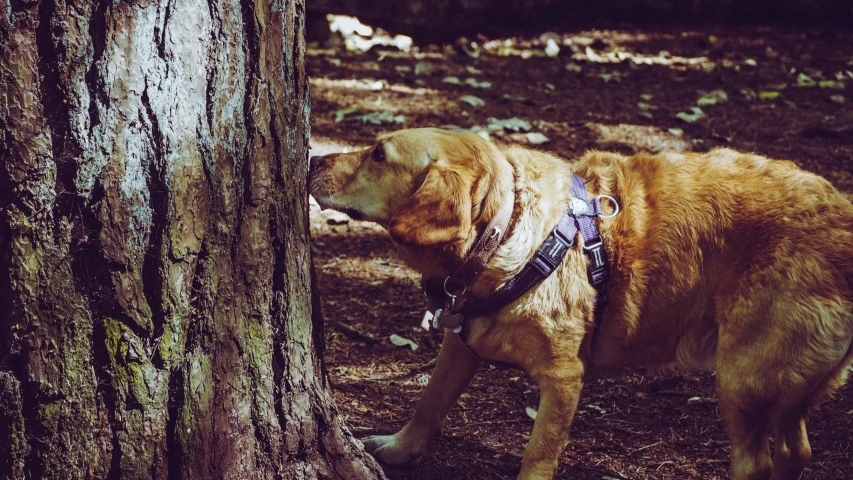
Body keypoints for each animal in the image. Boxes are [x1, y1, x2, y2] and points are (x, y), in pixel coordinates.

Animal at [306, 128, 852, 480]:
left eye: (379, 155)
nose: (312, 159)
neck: (504, 229)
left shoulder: (564, 379)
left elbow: (537, 456)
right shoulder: (461, 344)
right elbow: (429, 404)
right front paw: (399, 450)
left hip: (742, 376)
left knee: (756, 461)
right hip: (781, 381)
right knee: (796, 451)